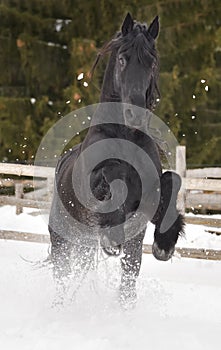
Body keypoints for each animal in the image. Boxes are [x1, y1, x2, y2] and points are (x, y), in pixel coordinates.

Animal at [48, 12, 185, 304]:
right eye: (122, 58)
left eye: (152, 62)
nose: (136, 114)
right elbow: (111, 176)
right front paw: (112, 235)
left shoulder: (148, 201)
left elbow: (173, 179)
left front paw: (164, 244)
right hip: (62, 241)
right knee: (62, 278)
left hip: (89, 245)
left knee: (126, 277)